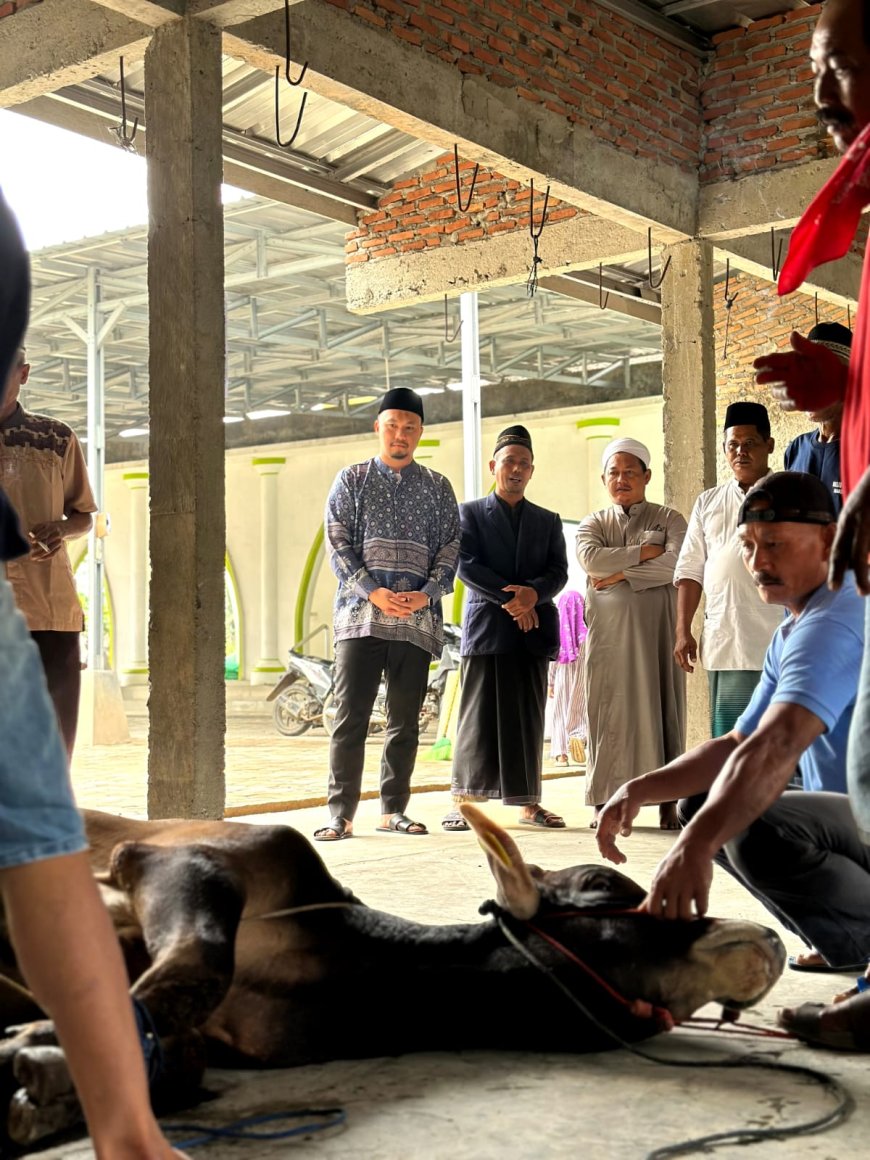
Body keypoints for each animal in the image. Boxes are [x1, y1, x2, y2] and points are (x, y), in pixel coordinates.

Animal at [0, 807, 788, 1150]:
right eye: (601, 882)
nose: (773, 938)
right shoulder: (172, 855)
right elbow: (202, 955)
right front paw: (38, 1047)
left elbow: (180, 1055)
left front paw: (42, 1076)